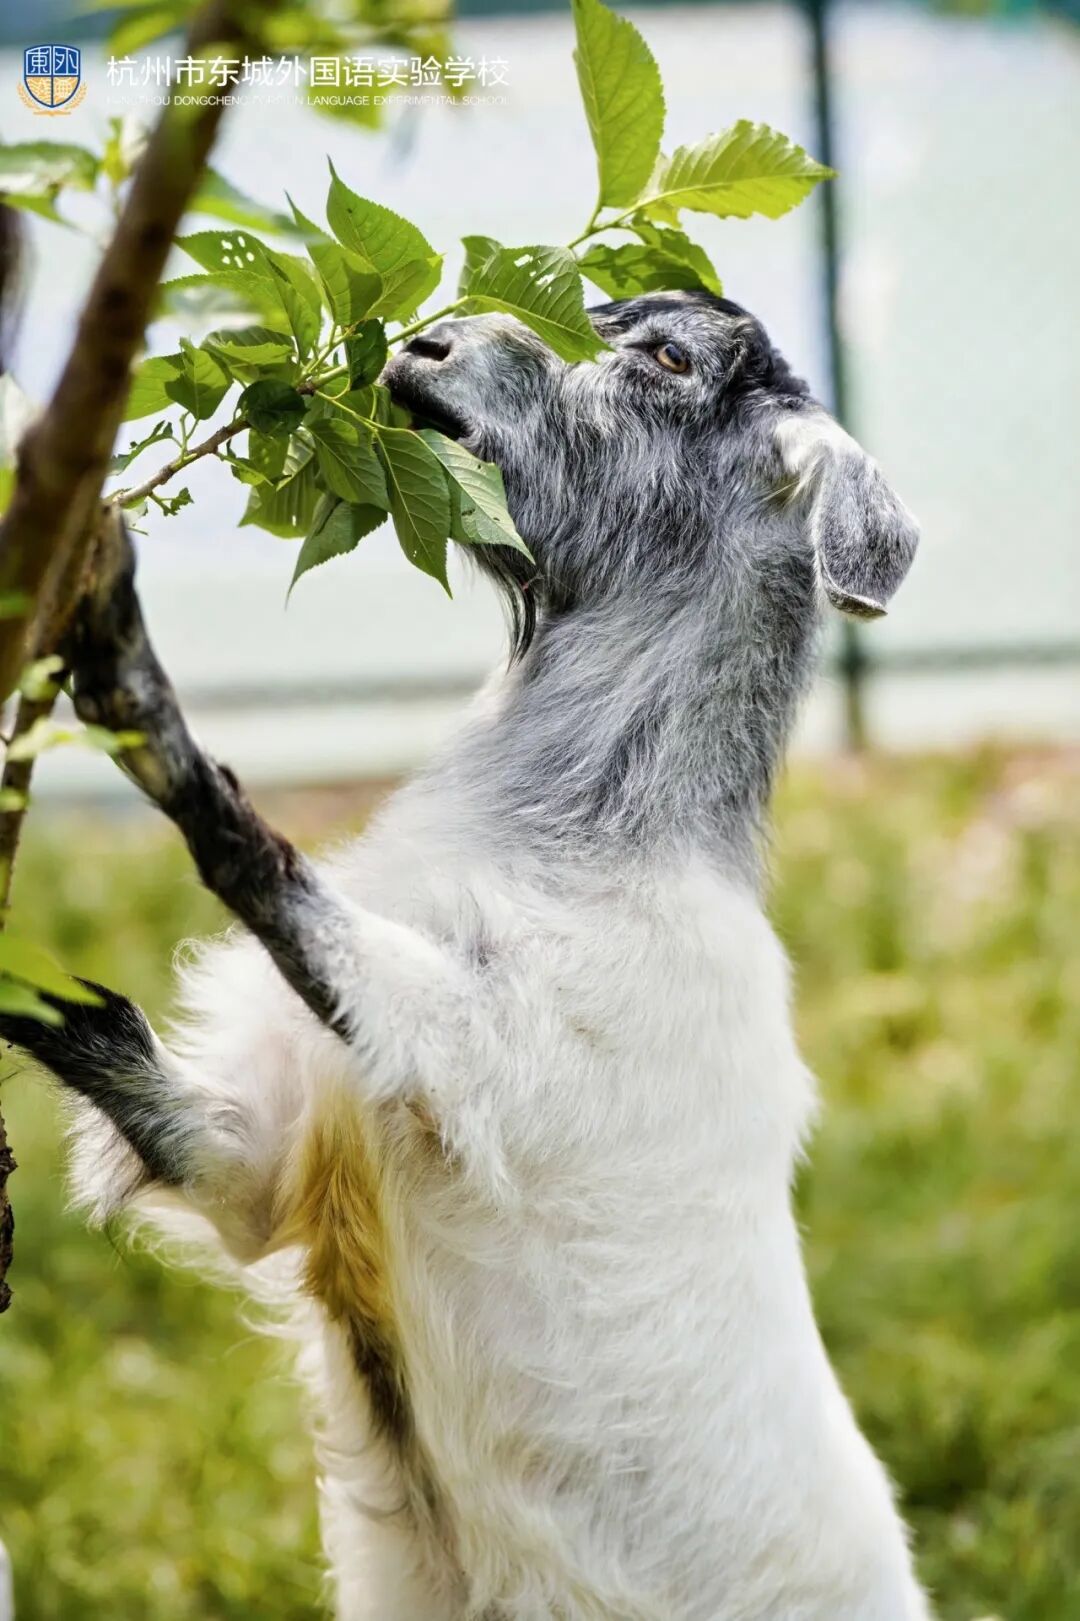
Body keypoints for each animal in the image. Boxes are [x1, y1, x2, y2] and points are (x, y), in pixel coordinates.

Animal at [2, 290, 929, 1620]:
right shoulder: (276, 1159)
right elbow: (185, 1120)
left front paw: (130, 673)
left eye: (667, 358)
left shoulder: (494, 1051)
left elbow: (266, 868)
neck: (579, 840)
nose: (426, 346)